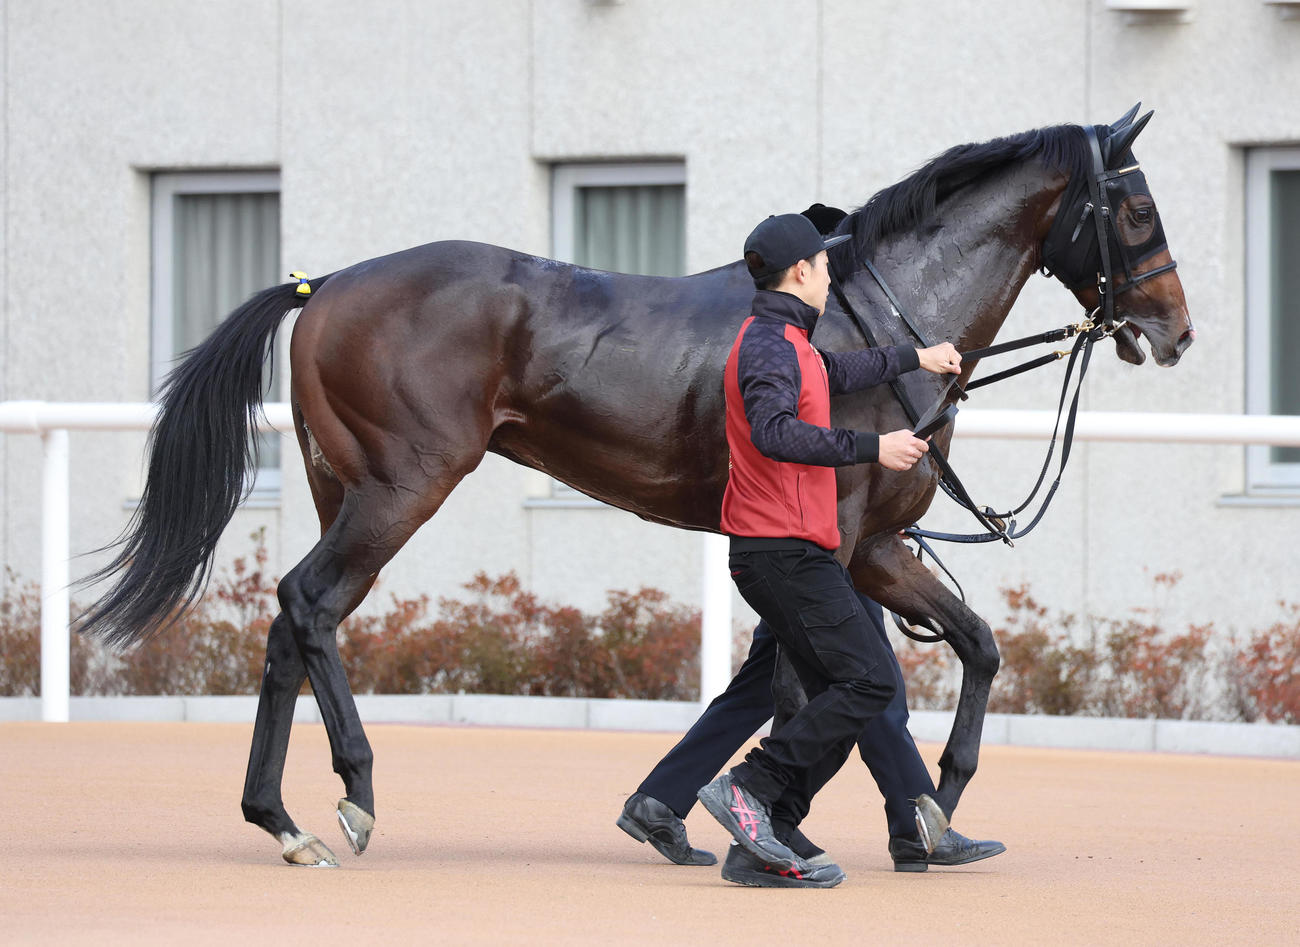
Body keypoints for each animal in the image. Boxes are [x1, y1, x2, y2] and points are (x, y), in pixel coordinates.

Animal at [80, 109, 1193, 867]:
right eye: (1136, 206)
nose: (1177, 330)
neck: (865, 320)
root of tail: (324, 286)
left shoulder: (874, 548)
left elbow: (967, 645)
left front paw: (933, 808)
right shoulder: (831, 544)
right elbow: (812, 683)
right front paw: (776, 823)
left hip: (336, 485)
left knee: (288, 626)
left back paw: (280, 817)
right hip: (401, 485)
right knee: (310, 603)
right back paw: (352, 789)